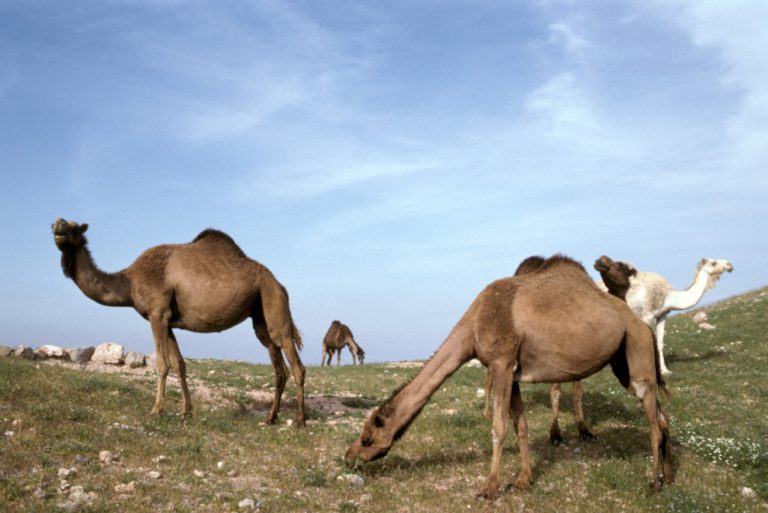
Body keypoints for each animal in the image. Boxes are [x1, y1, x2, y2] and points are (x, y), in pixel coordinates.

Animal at [51, 218, 306, 425]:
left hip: (273, 302)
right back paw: (271, 418)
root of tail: (280, 284)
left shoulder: (157, 313)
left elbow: (162, 363)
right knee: (278, 367)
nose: (58, 226)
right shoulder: (169, 321)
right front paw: (186, 411)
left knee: (295, 363)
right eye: (55, 224)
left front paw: (156, 410)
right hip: (260, 315)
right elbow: (180, 364)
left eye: (74, 227)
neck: (130, 282)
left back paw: (300, 420)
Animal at [346, 255, 673, 499]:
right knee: (662, 416)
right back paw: (669, 476)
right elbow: (521, 426)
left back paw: (654, 482)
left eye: (367, 436)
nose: (349, 456)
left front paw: (489, 488)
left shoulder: (501, 363)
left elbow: (499, 428)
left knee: (652, 419)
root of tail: (643, 325)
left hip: (636, 349)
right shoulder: (512, 372)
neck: (472, 328)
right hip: (623, 361)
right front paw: (523, 480)